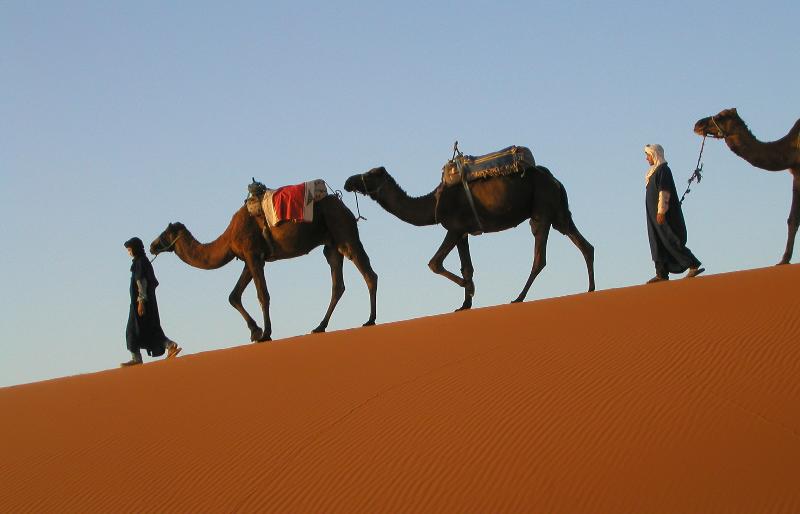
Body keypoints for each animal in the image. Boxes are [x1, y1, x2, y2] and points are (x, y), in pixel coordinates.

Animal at [152, 196, 380, 340]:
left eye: (165, 234)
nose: (152, 245)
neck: (227, 239)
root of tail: (344, 206)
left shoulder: (253, 255)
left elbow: (263, 295)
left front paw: (265, 334)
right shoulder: (249, 259)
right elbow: (233, 296)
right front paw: (255, 331)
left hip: (343, 231)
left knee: (369, 273)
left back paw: (370, 320)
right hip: (331, 244)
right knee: (338, 284)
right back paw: (319, 327)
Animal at [344, 164, 592, 308]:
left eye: (371, 174)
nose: (348, 181)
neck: (433, 204)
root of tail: (555, 180)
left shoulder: (454, 228)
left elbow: (434, 263)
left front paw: (470, 289)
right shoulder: (463, 233)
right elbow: (467, 267)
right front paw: (465, 304)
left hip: (541, 207)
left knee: (540, 255)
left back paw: (519, 297)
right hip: (559, 212)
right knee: (584, 245)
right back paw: (591, 288)